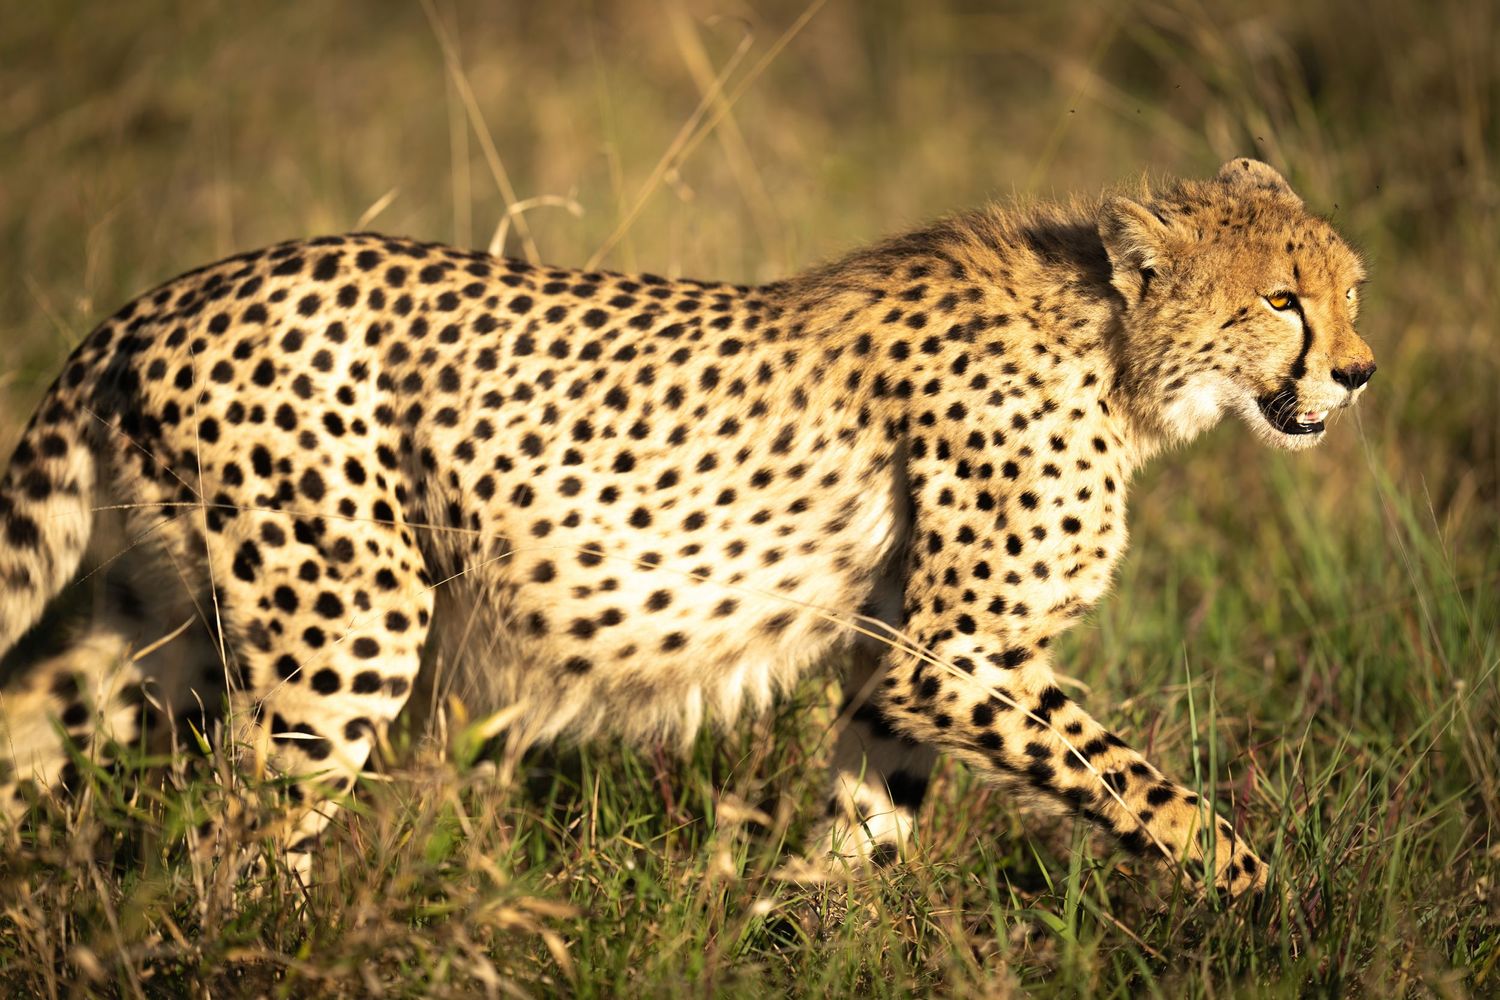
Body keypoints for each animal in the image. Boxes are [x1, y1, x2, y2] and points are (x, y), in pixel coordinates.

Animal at [0, 158, 1374, 896]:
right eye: (1283, 301)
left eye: (1351, 288)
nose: (1360, 373)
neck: (1118, 355)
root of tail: (168, 294)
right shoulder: (959, 656)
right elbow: (1148, 790)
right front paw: (1264, 903)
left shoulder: (897, 662)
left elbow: (869, 822)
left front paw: (805, 930)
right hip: (346, 620)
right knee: (238, 834)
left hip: (165, 612)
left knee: (30, 718)